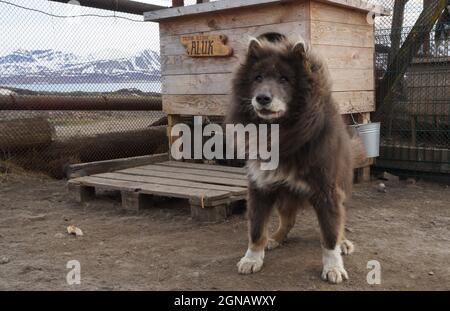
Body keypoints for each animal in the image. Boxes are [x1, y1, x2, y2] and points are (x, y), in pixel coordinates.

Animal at [227, 34, 356, 286]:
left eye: (284, 79)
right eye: (258, 78)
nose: (262, 98)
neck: (282, 131)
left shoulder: (327, 191)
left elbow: (330, 234)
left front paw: (333, 267)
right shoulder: (261, 187)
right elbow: (256, 228)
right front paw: (252, 258)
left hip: (341, 190)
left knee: (340, 222)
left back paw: (344, 243)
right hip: (285, 196)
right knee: (288, 221)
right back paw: (275, 238)